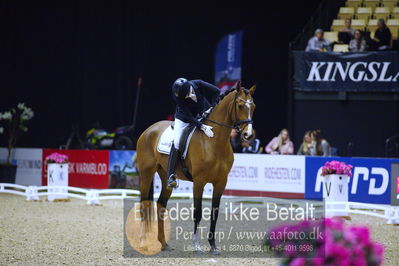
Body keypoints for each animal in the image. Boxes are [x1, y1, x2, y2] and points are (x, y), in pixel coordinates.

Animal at [137, 82, 256, 254]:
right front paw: (197, 245)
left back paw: (164, 243)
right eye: (240, 106)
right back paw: (143, 242)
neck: (214, 142)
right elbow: (197, 213)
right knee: (143, 204)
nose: (248, 135)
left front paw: (213, 246)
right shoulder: (199, 182)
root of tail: (149, 129)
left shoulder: (221, 182)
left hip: (165, 176)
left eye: (253, 106)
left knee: (160, 205)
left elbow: (214, 213)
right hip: (146, 174)